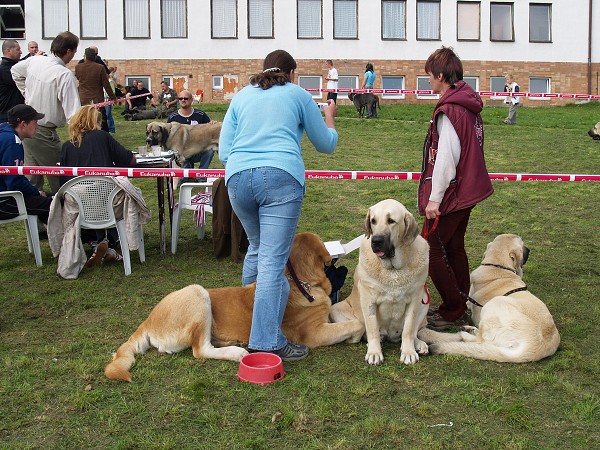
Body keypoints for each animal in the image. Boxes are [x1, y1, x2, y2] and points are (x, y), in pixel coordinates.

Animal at [418, 234, 564, 364]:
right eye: (522, 244)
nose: (529, 249)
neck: (497, 266)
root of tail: (535, 348)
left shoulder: (471, 304)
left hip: (494, 303)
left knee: (481, 340)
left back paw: (465, 333)